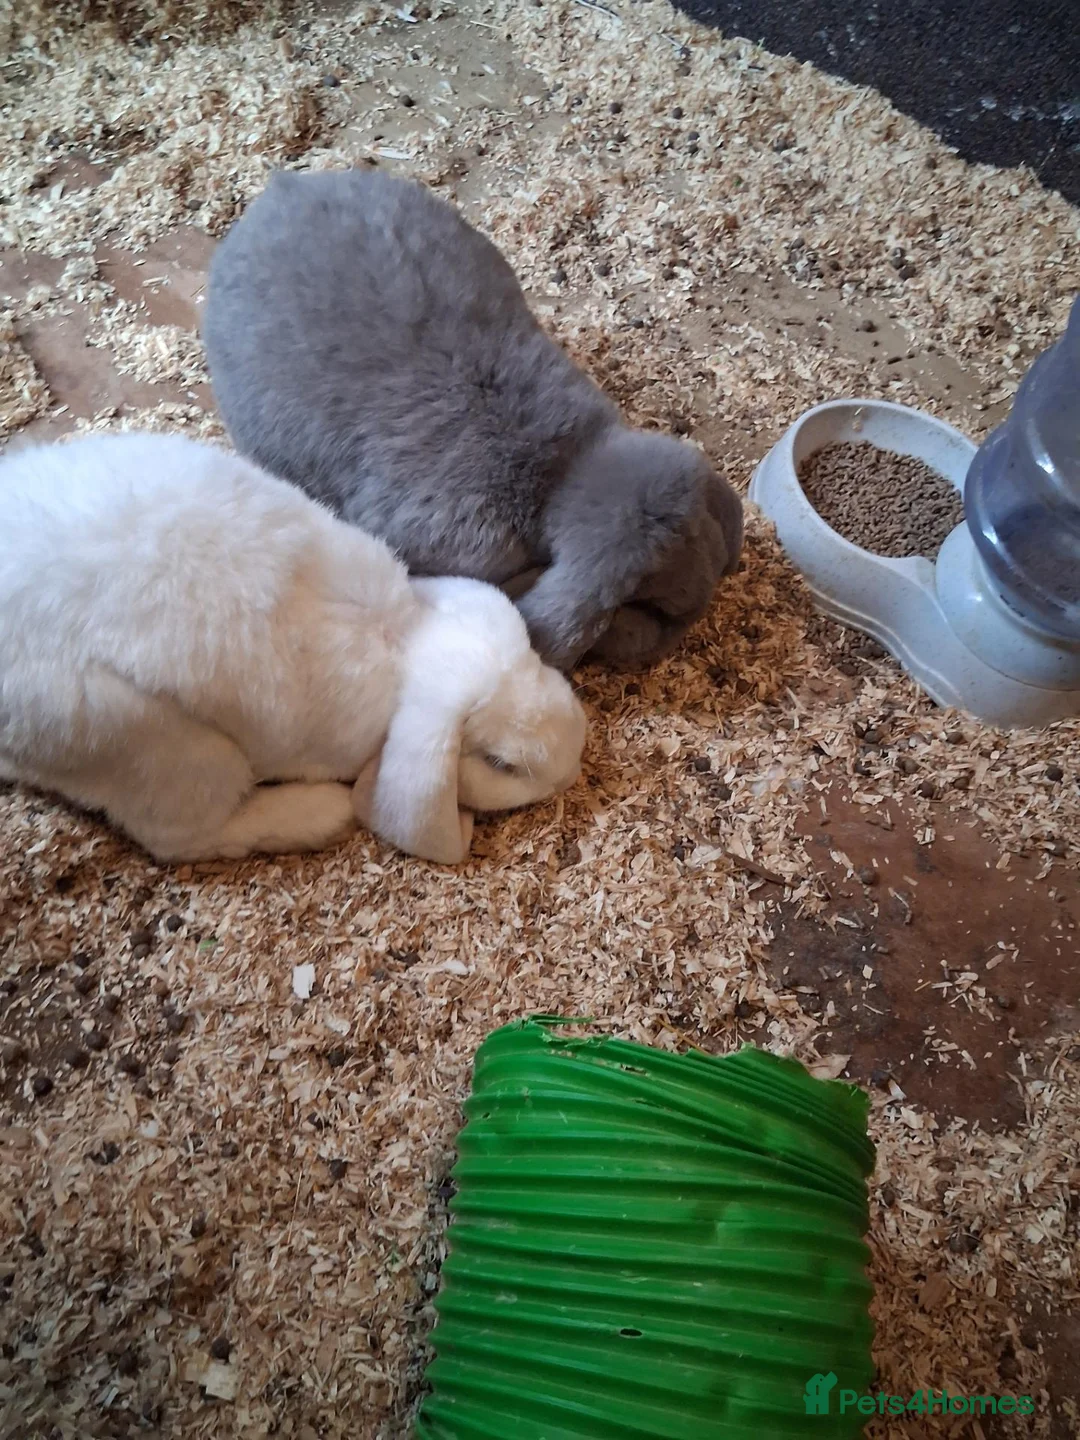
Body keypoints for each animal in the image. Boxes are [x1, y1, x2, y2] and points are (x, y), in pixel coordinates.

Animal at [0, 431, 586, 866]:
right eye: (501, 763)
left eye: (535, 655)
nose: (576, 757)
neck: (402, 640)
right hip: (152, 740)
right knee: (180, 837)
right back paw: (320, 812)